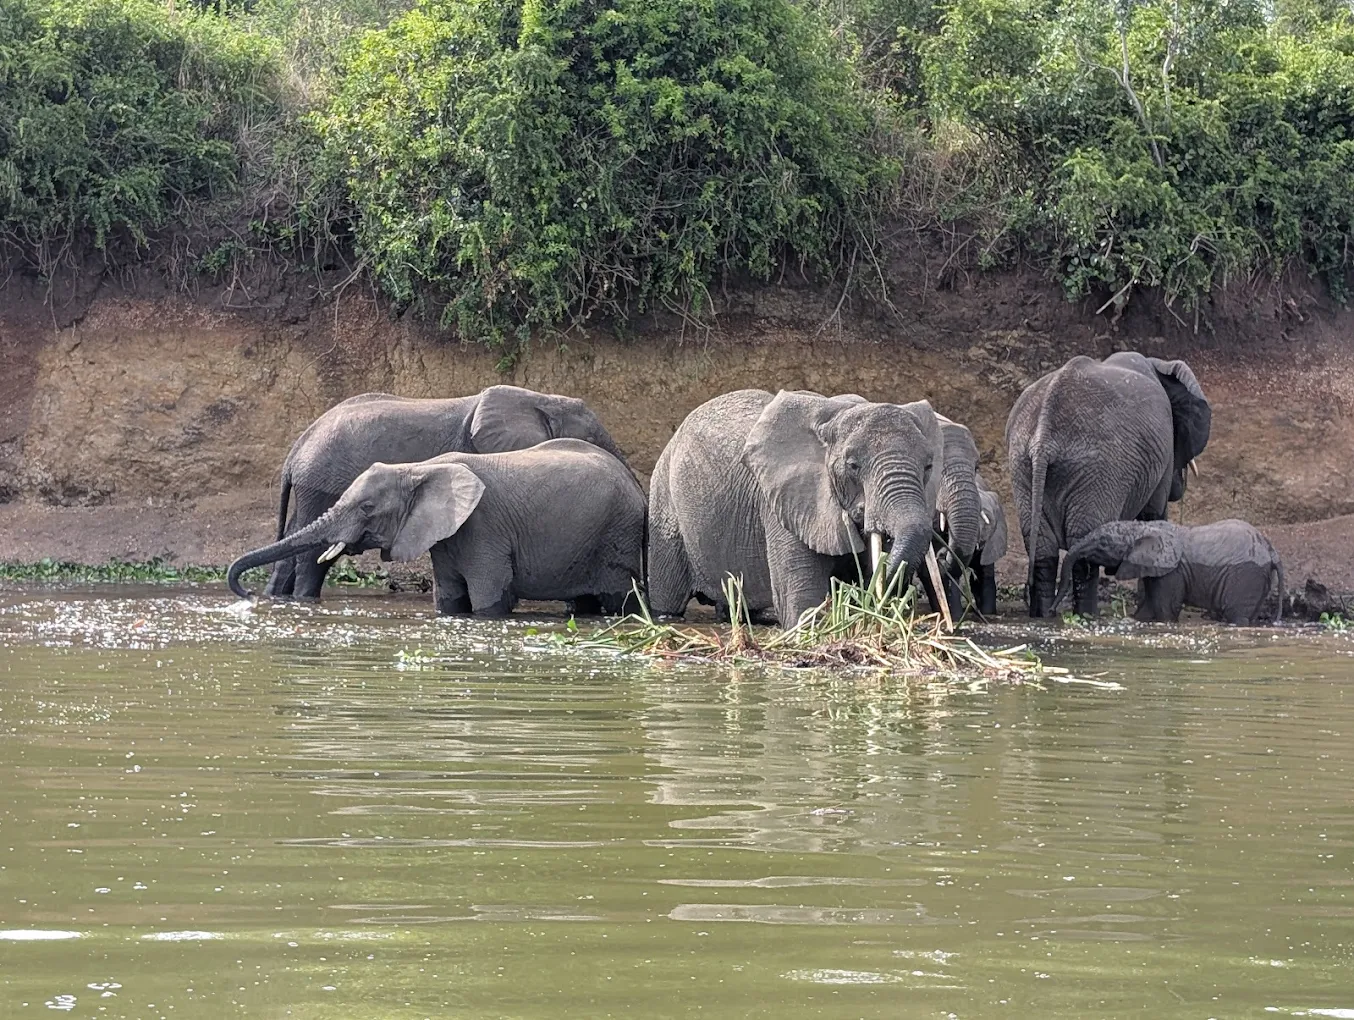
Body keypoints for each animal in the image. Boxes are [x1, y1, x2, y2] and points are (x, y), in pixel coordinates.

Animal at [228, 439, 645, 617]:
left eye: (367, 508)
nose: (247, 594)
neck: (418, 468)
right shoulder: (445, 536)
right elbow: (448, 598)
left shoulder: (483, 526)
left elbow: (488, 597)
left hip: (616, 533)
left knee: (618, 598)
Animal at [265, 385, 628, 600]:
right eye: (593, 438)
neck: (541, 400)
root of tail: (296, 450)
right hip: (321, 484)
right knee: (313, 553)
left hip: (313, 488)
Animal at [647, 389, 946, 628]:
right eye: (853, 465)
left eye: (928, 466)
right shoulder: (783, 505)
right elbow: (802, 602)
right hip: (664, 503)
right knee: (669, 599)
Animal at [1006, 351, 1211, 618]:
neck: (1157, 365)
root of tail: (1043, 440)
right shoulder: (1163, 454)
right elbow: (1154, 515)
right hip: (1098, 471)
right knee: (1083, 554)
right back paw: (1087, 615)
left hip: (1022, 463)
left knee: (1042, 549)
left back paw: (1044, 616)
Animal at [1050, 519, 1284, 625]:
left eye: (1103, 544)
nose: (1052, 610)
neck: (1141, 527)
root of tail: (1272, 550)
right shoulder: (1151, 568)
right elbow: (1146, 608)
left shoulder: (1172, 572)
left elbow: (1166, 609)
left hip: (1246, 576)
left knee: (1236, 615)